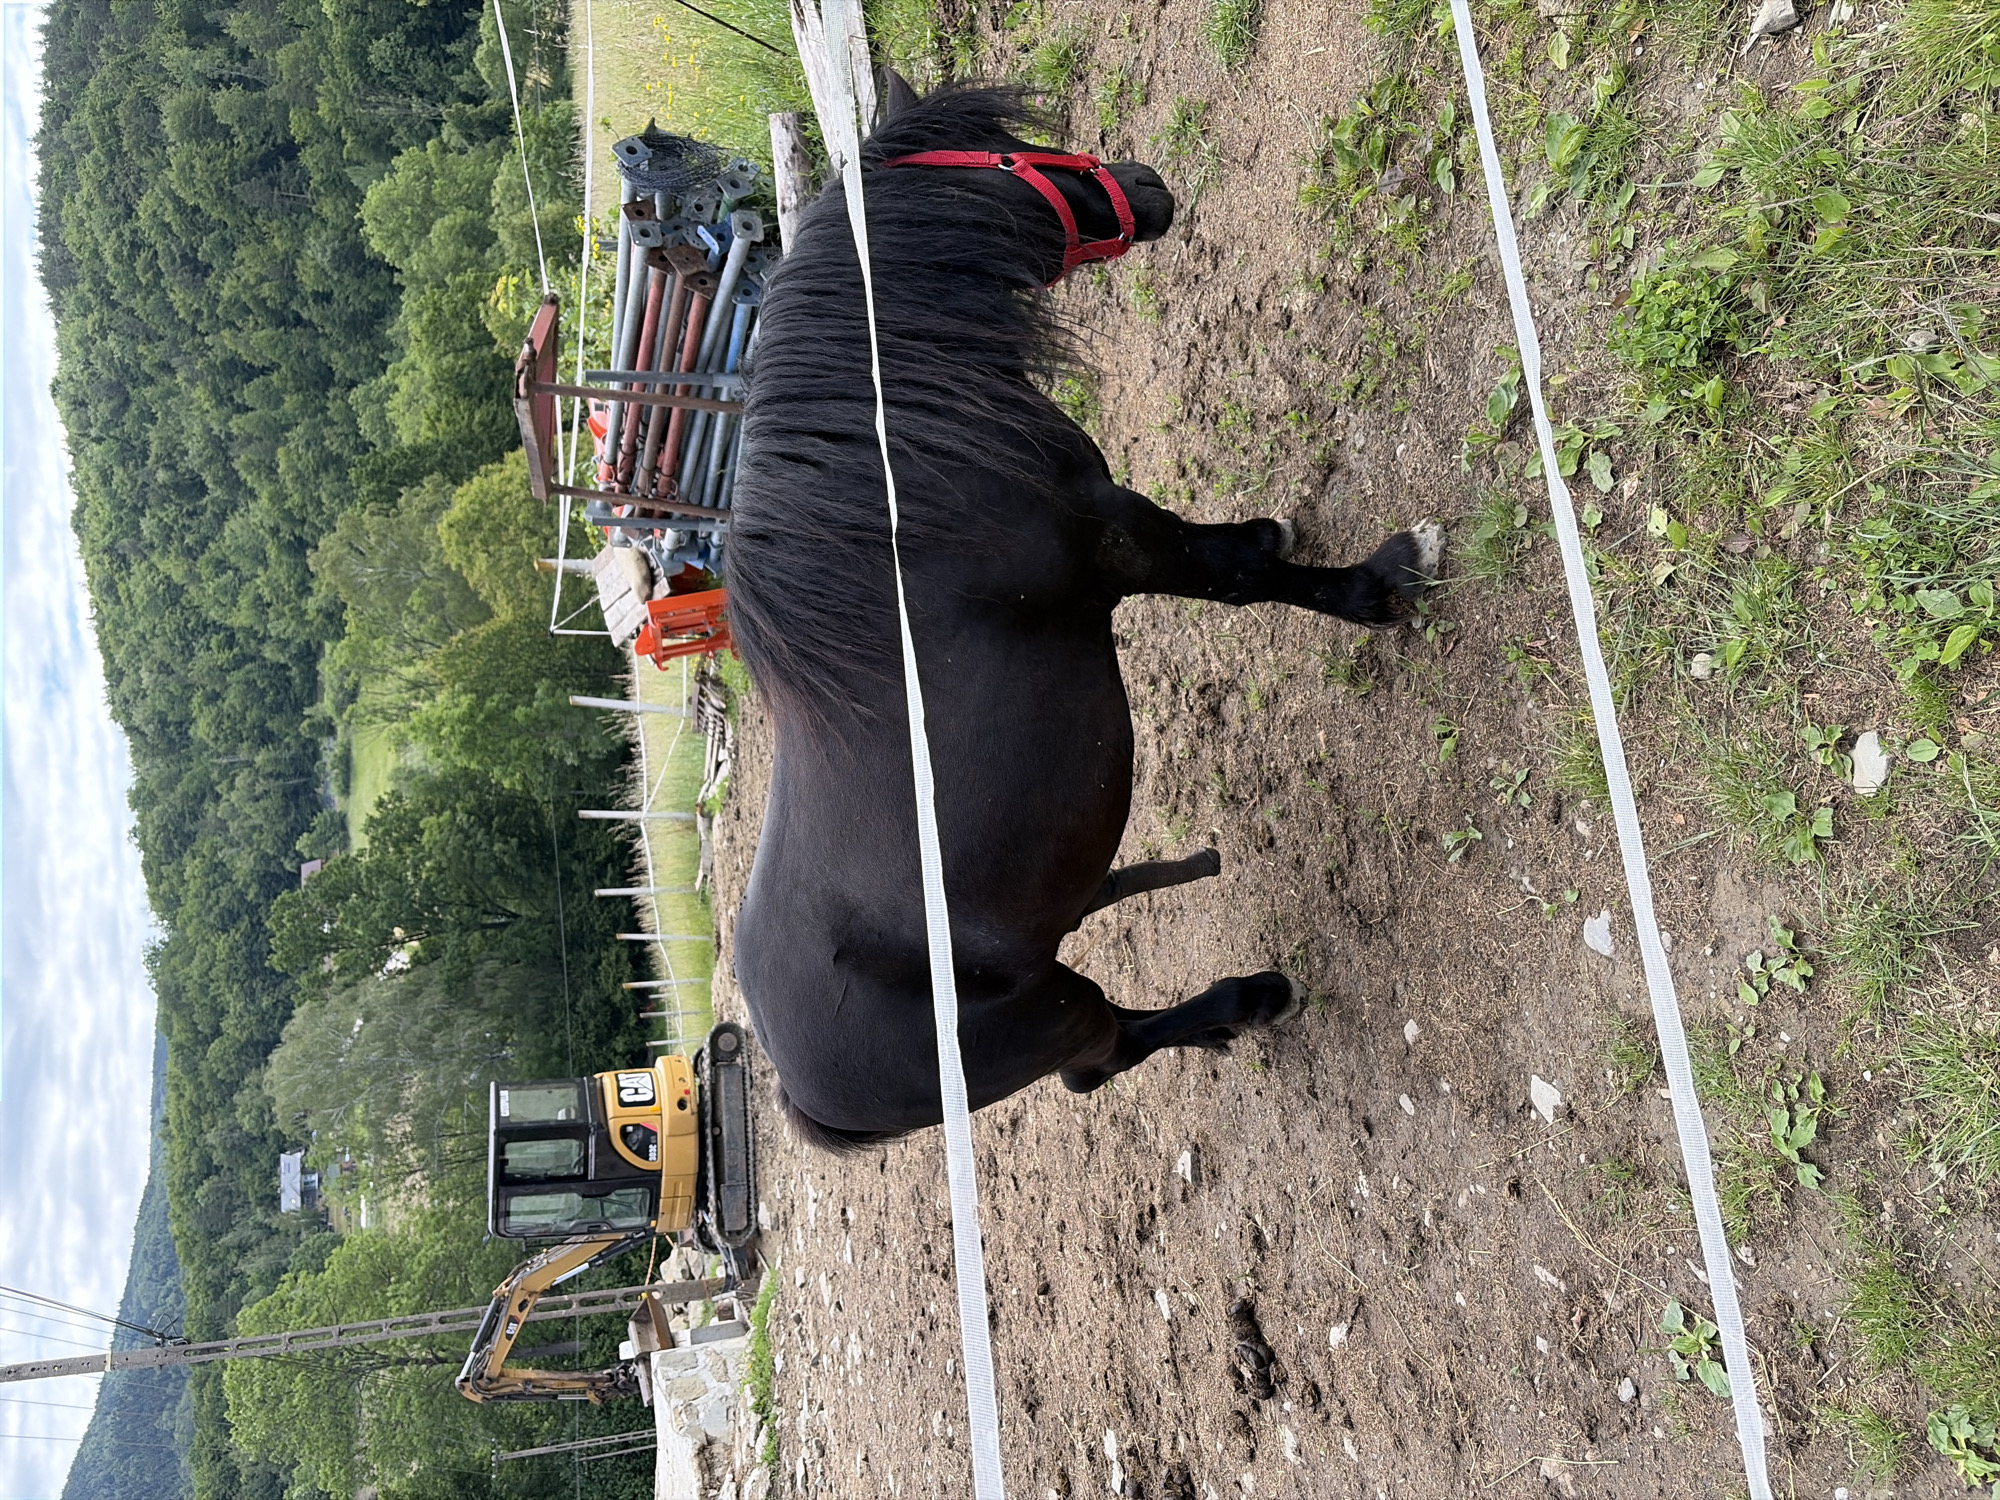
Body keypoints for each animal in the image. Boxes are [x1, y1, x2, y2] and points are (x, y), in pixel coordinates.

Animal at [726, 82, 1439, 1151]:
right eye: (1005, 156)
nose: (1145, 185)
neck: (900, 507)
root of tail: (798, 1092)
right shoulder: (1116, 543)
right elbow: (1237, 575)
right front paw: (1377, 585)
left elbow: (1241, 553)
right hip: (1052, 1018)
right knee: (1103, 1059)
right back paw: (1248, 1002)